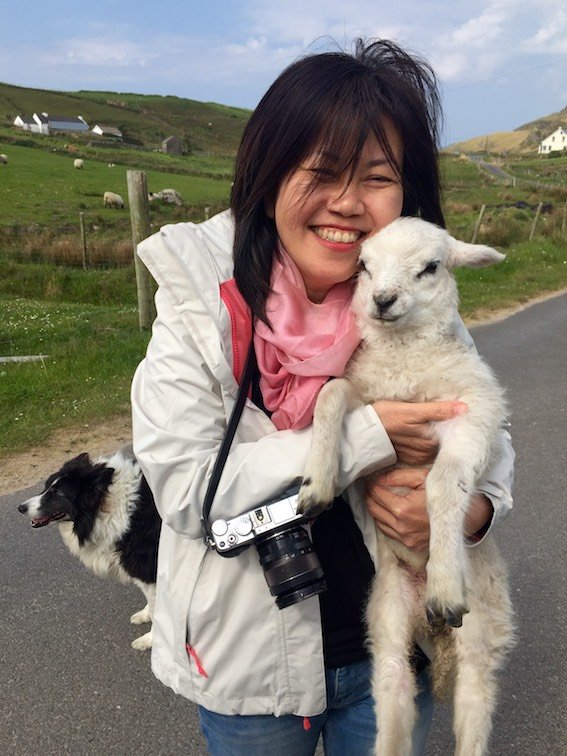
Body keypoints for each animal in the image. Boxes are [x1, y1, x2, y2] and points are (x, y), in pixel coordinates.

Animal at [17, 452, 160, 652]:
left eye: (58, 493)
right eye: (45, 487)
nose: (21, 508)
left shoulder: (147, 569)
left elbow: (158, 609)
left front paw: (151, 640)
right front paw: (145, 615)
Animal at [300, 217, 516, 756]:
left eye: (431, 267)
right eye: (363, 265)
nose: (382, 300)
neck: (405, 364)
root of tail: (429, 631)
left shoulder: (470, 413)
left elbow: (443, 482)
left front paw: (444, 580)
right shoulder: (368, 394)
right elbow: (329, 394)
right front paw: (318, 482)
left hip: (481, 635)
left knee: (473, 711)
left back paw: (440, 595)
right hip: (388, 627)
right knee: (393, 702)